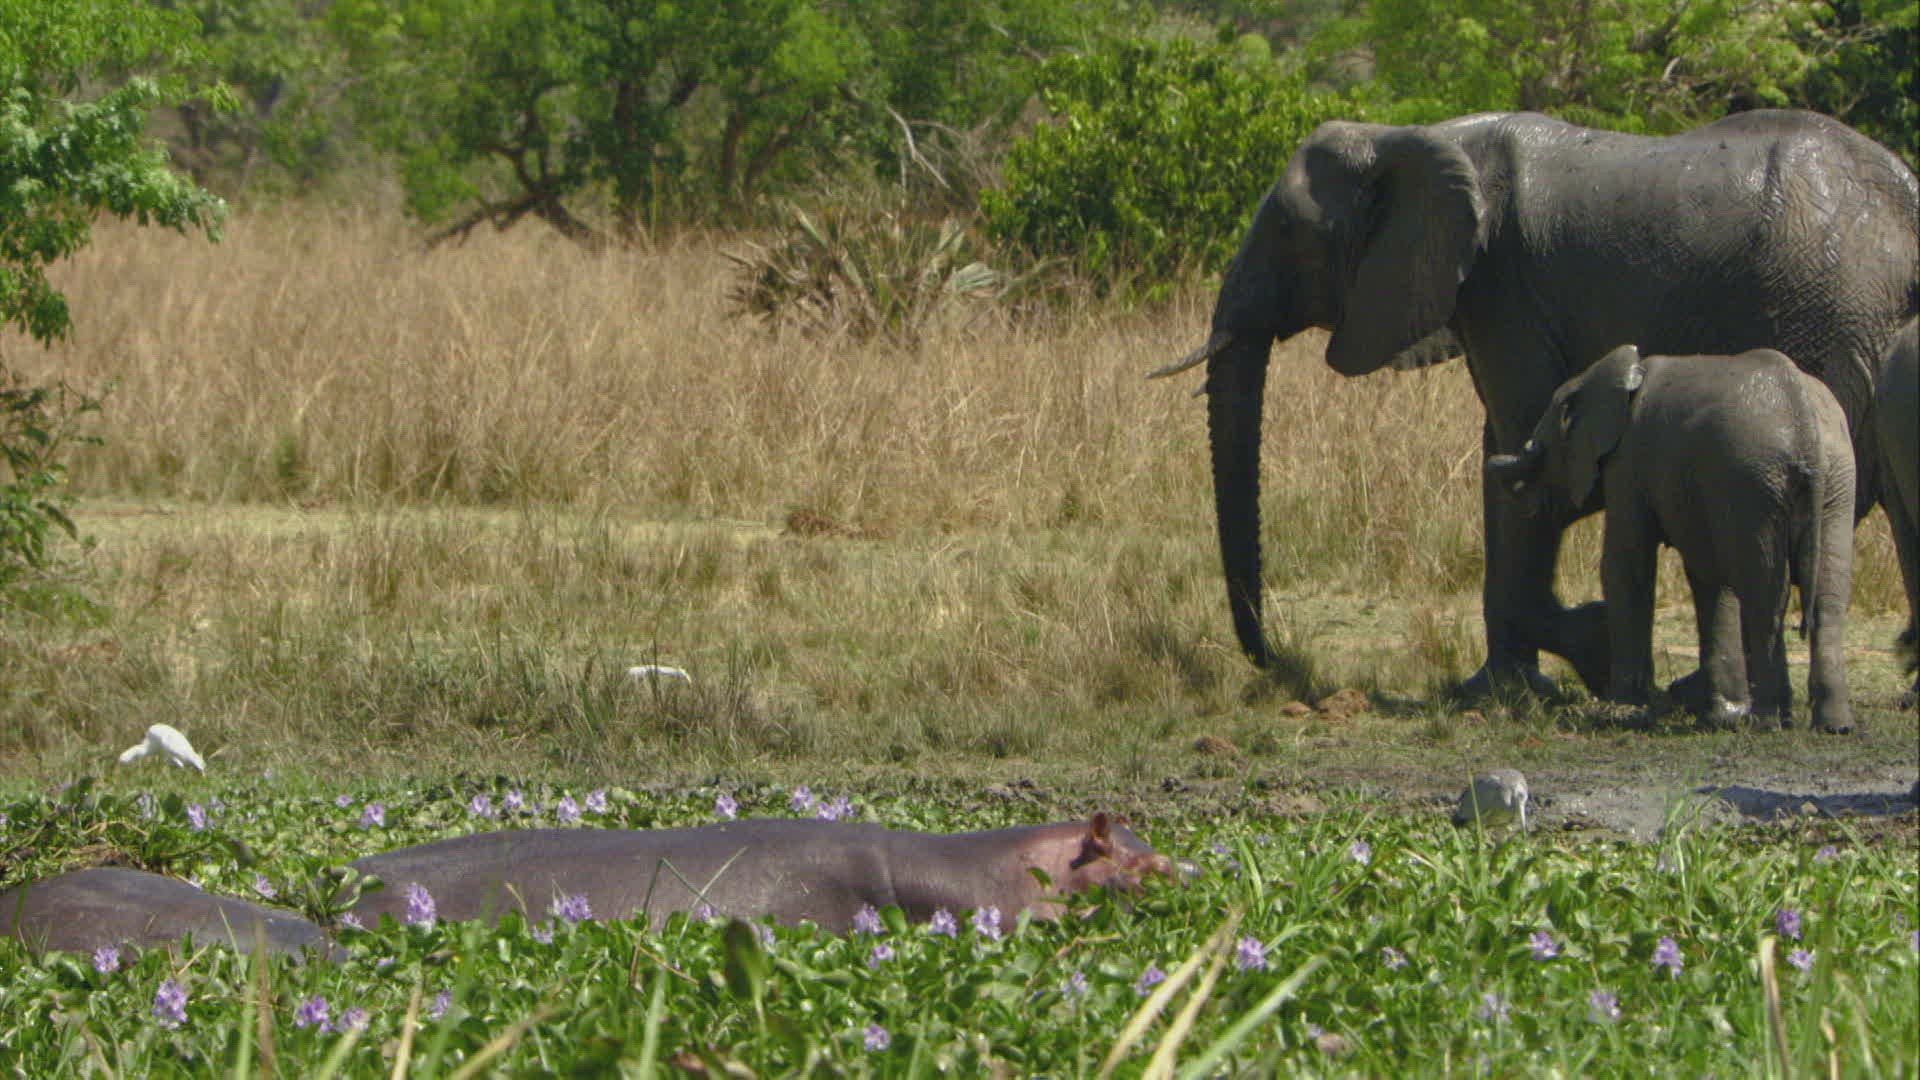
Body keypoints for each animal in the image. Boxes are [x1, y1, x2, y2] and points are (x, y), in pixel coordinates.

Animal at [1485, 345, 1857, 732]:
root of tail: (1806, 428)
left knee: (1765, 593)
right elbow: (1710, 577)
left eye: (1540, 450)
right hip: (1836, 479)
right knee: (1827, 596)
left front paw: (1623, 713)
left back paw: (1768, 722)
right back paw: (1833, 726)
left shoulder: (1629, 460)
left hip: (1755, 481)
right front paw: (1722, 716)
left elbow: (1626, 562)